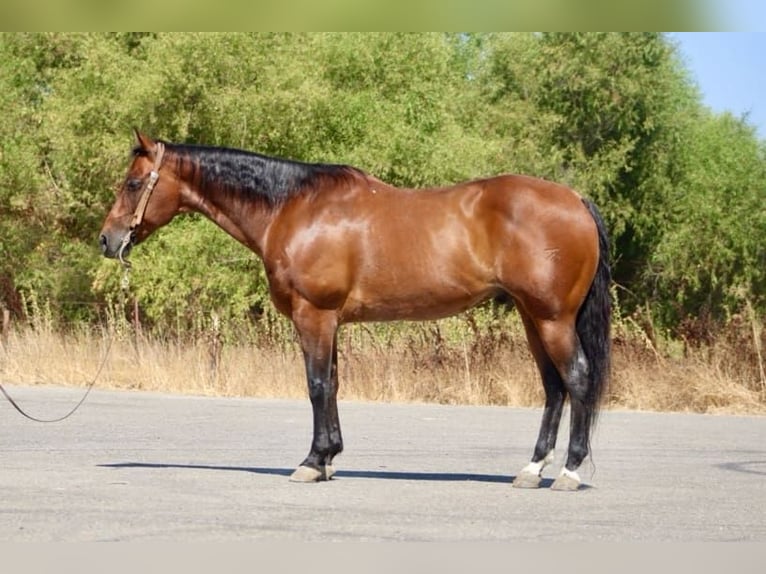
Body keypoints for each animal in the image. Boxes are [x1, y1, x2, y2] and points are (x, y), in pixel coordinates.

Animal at [99, 130, 611, 491]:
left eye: (132, 183)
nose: (107, 239)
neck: (292, 208)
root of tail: (576, 199)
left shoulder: (314, 315)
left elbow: (317, 386)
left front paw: (312, 462)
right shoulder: (330, 322)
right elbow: (333, 384)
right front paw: (329, 458)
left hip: (551, 319)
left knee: (578, 378)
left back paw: (568, 473)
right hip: (532, 317)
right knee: (553, 388)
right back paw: (532, 469)